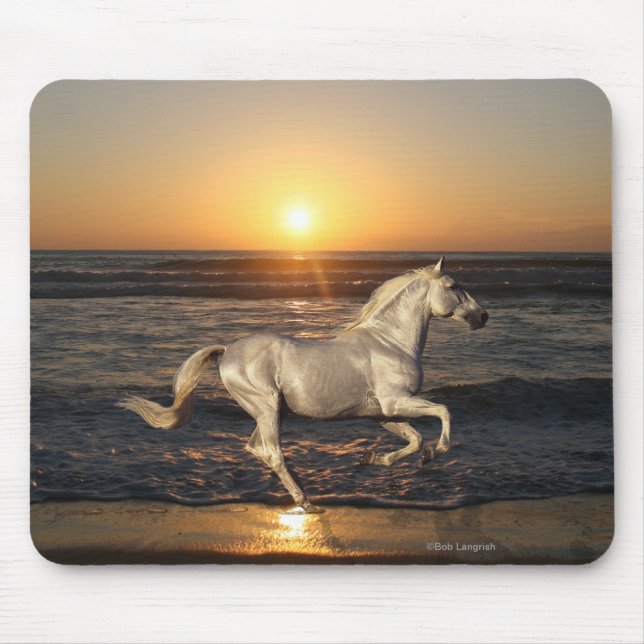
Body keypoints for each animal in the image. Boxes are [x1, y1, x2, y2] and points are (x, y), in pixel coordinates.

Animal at [119, 257, 488, 513]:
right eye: (454, 286)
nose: (483, 316)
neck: (389, 342)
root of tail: (227, 351)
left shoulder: (382, 413)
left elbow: (413, 440)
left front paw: (371, 459)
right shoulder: (396, 401)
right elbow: (444, 412)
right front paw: (435, 453)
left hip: (271, 413)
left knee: (257, 449)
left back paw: (303, 488)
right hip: (267, 408)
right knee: (272, 453)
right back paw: (305, 500)